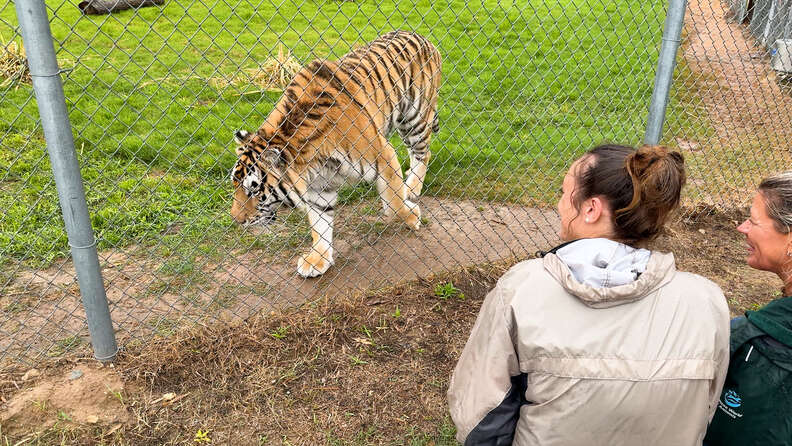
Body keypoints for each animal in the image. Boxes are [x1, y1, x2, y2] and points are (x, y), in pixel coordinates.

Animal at [230, 30, 442, 278]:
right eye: (234, 186)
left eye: (254, 191)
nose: (236, 220)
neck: (312, 161)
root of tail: (421, 36)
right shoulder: (317, 187)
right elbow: (319, 224)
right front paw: (317, 260)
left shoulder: (383, 154)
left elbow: (393, 203)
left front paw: (412, 216)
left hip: (415, 118)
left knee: (423, 153)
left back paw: (412, 187)